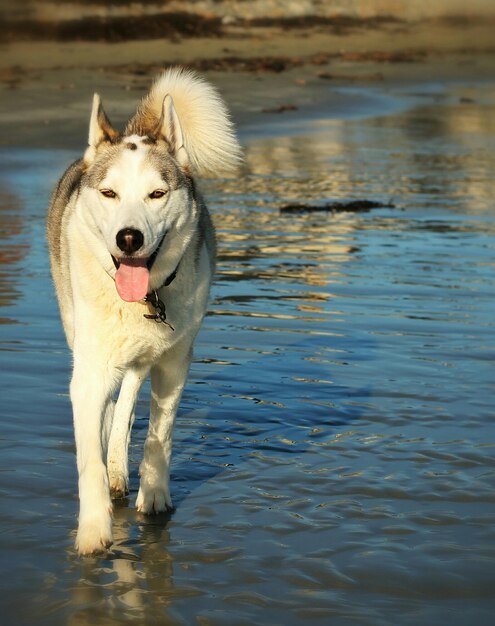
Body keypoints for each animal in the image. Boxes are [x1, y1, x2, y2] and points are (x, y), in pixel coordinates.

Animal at [47, 68, 241, 552]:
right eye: (109, 193)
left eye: (157, 193)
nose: (129, 238)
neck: (143, 299)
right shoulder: (90, 369)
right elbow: (88, 455)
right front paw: (93, 531)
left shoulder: (173, 361)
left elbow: (159, 433)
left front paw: (153, 498)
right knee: (111, 408)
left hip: (145, 354)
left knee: (127, 403)